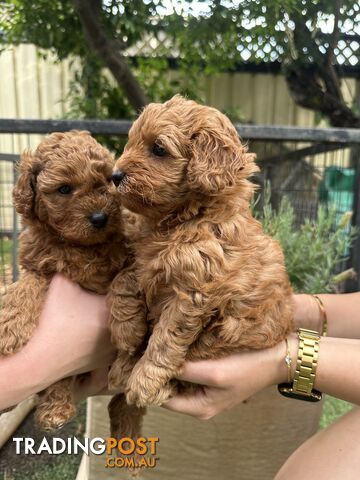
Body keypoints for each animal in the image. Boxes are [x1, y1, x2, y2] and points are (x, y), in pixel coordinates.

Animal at [110, 95, 296, 410]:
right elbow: (121, 280)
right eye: (130, 142)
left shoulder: (192, 293)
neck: (182, 219)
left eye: (158, 149)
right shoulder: (144, 260)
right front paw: (126, 332)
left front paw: (144, 381)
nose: (114, 175)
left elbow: (165, 339)